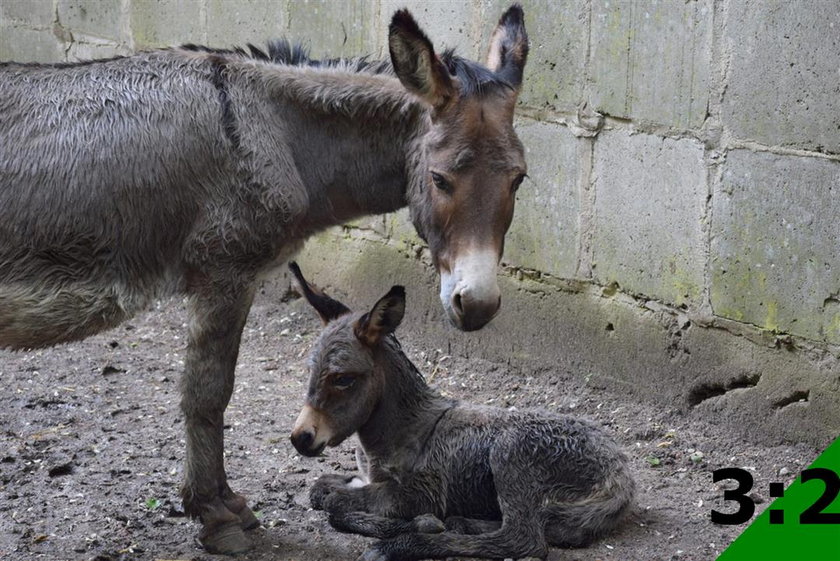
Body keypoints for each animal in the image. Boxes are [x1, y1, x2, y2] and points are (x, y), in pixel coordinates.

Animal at [288, 264, 632, 560]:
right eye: (310, 370)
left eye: (343, 379)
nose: (299, 438)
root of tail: (619, 468)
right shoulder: (368, 477)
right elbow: (321, 489)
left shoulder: (423, 492)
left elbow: (334, 503)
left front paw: (419, 525)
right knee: (542, 526)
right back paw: (462, 523)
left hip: (512, 452)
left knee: (523, 539)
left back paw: (402, 545)